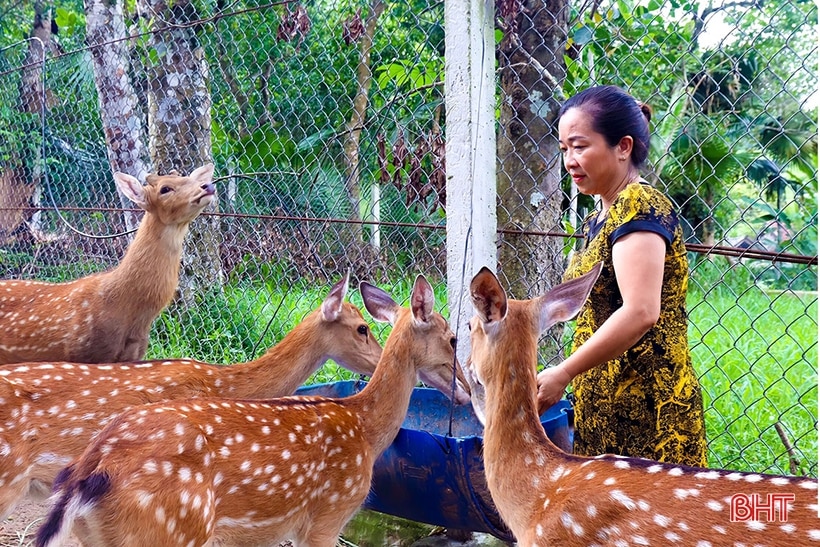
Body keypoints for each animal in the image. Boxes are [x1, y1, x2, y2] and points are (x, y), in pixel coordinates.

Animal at [38, 276, 470, 547]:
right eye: (452, 338)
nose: (467, 392)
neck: (363, 429)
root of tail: (89, 472)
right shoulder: (328, 516)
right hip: (169, 529)